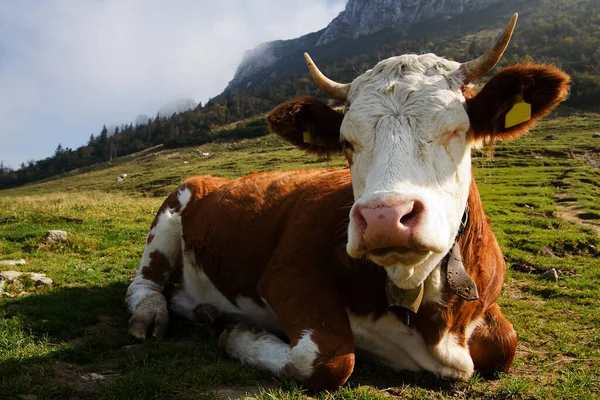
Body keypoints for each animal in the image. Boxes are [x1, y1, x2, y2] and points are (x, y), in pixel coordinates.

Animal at [124, 14, 568, 390]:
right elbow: (328, 360)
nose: (385, 217)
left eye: (456, 129)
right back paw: (153, 315)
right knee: (144, 283)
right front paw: (235, 332)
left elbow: (505, 345)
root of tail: (214, 177)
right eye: (345, 141)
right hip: (171, 210)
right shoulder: (287, 276)